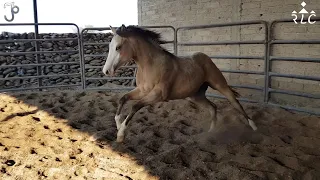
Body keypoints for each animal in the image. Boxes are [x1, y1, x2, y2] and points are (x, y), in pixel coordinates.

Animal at [102, 23, 258, 143]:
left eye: (118, 47)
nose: (106, 71)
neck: (151, 65)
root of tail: (205, 58)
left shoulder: (158, 95)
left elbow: (135, 106)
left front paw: (120, 134)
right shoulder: (142, 90)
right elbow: (123, 99)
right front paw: (118, 125)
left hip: (220, 85)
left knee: (235, 103)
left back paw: (254, 126)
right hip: (196, 95)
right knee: (213, 107)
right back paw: (210, 133)